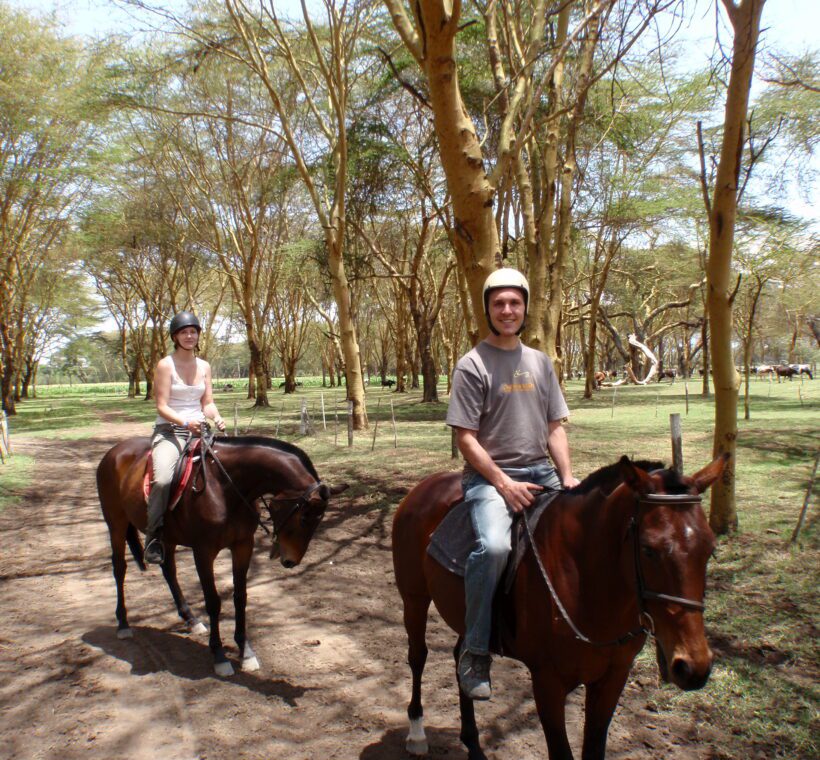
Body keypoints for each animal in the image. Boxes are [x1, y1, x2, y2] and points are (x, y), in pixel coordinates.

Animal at [97, 434, 346, 676]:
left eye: (319, 520)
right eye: (304, 518)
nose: (290, 561)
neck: (225, 488)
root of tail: (114, 452)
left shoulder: (243, 546)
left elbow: (240, 597)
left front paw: (245, 651)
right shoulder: (203, 551)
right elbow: (213, 601)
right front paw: (219, 655)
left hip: (167, 538)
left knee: (169, 571)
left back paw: (191, 619)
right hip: (116, 524)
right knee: (119, 568)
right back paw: (123, 623)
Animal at [394, 454, 728, 756]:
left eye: (710, 549)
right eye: (649, 549)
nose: (694, 666)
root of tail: (425, 486)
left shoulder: (613, 678)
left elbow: (593, 748)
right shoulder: (548, 682)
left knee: (459, 656)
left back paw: (473, 743)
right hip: (414, 599)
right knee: (418, 656)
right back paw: (417, 734)